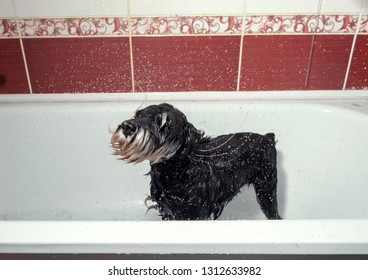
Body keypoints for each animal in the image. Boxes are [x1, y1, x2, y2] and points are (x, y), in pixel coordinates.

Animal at [110, 104, 280, 220]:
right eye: (139, 114)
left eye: (164, 123)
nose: (127, 126)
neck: (176, 172)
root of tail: (268, 138)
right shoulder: (168, 212)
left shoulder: (193, 214)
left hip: (266, 189)